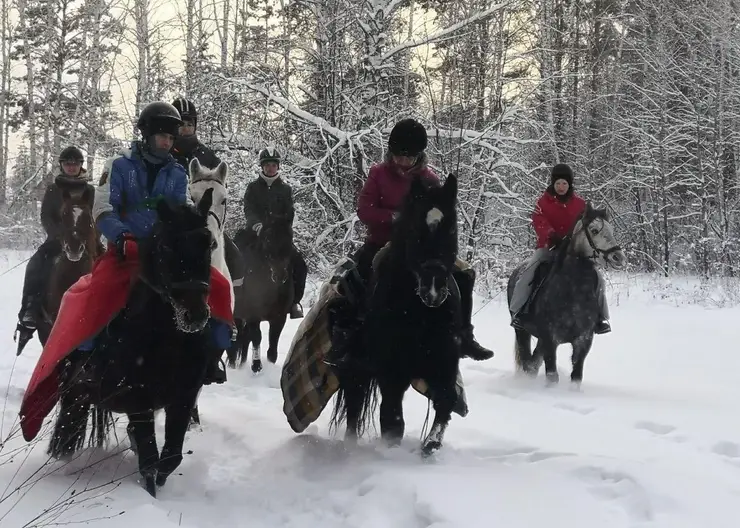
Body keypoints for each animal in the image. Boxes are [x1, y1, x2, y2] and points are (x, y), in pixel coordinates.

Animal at [47, 192, 217, 498]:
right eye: (166, 246)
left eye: (209, 243)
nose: (195, 314)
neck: (168, 339)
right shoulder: (139, 401)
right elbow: (150, 459)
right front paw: (149, 493)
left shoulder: (184, 398)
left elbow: (170, 457)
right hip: (75, 391)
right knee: (70, 419)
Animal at [228, 214, 294, 372]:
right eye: (267, 239)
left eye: (290, 238)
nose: (280, 275)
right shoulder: (253, 316)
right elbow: (257, 337)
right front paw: (256, 366)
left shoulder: (279, 317)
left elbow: (273, 343)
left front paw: (269, 363)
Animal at [330, 174, 462, 458]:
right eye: (415, 230)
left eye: (452, 229)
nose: (433, 290)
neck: (420, 315)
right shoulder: (391, 370)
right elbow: (392, 418)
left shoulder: (444, 363)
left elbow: (445, 401)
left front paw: (431, 444)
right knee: (355, 402)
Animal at [508, 202, 624, 388]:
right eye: (594, 230)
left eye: (611, 229)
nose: (618, 257)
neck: (573, 289)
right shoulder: (550, 338)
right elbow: (552, 375)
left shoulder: (584, 339)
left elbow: (576, 376)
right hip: (522, 332)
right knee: (527, 361)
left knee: (533, 362)